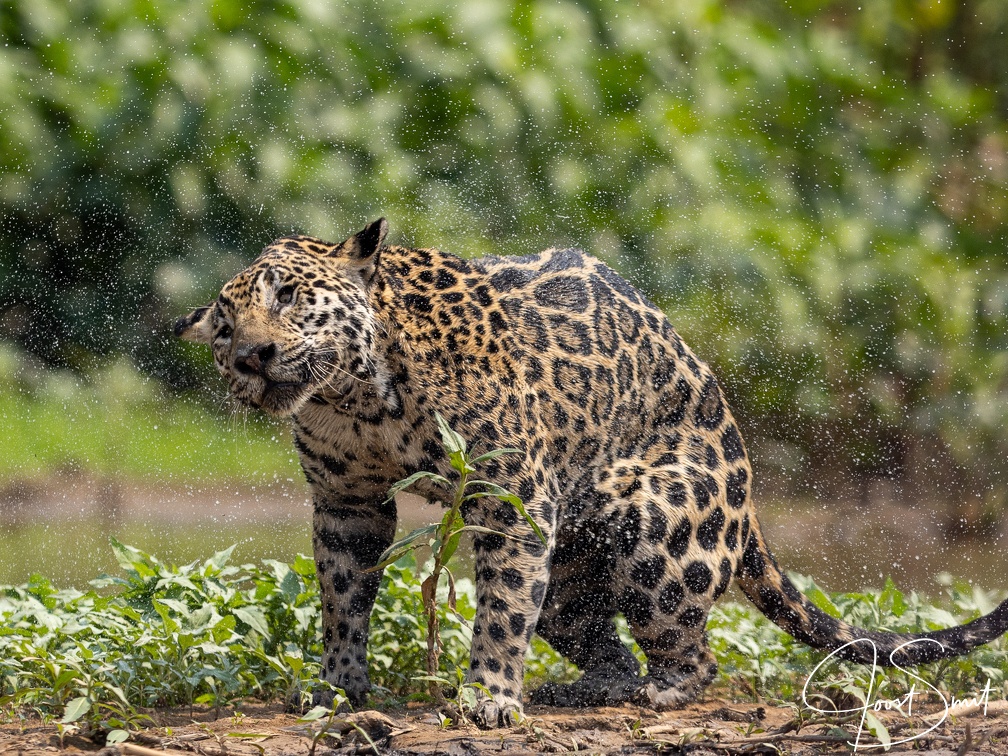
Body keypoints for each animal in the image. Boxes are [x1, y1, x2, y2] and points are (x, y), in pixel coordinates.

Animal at [176, 218, 1008, 728]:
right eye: (224, 326)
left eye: (289, 296)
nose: (250, 356)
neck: (354, 398)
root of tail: (747, 493)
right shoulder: (347, 502)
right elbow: (343, 599)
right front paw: (340, 687)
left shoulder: (510, 499)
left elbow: (501, 609)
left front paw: (488, 698)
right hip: (573, 577)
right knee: (595, 639)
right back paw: (578, 690)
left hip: (658, 534)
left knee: (692, 653)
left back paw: (657, 693)